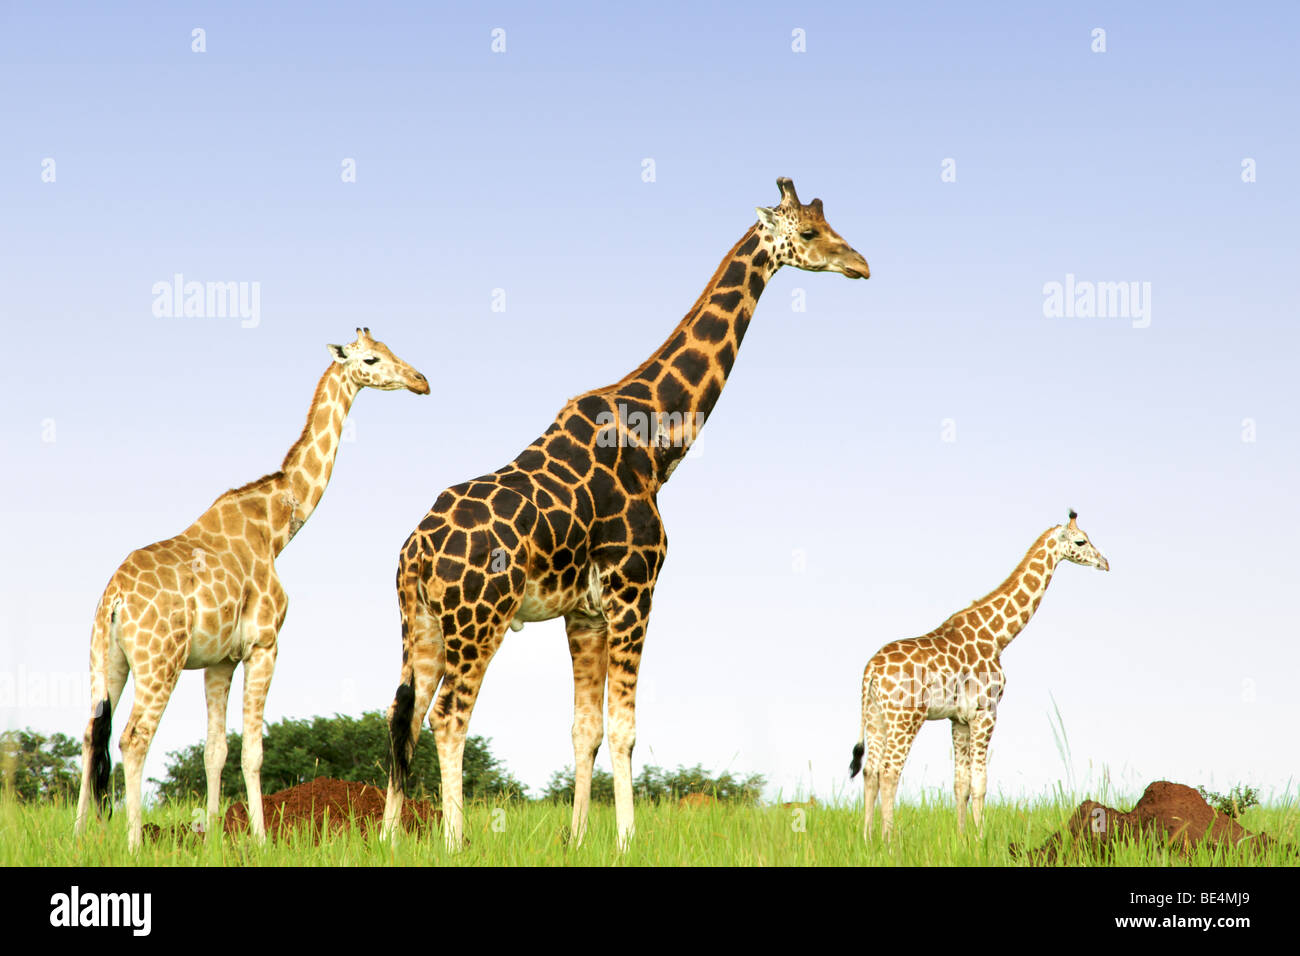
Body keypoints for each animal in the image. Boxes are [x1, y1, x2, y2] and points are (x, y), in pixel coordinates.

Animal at [73, 329, 428, 850]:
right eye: (370, 359)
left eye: (390, 349)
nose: (421, 380)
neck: (277, 527)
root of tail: (115, 599)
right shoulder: (265, 643)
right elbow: (253, 751)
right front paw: (260, 838)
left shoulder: (218, 660)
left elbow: (215, 750)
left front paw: (214, 836)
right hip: (159, 662)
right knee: (133, 738)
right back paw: (134, 841)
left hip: (106, 659)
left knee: (91, 732)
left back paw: (79, 836)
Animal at [383, 178, 870, 850]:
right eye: (808, 232)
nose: (861, 265)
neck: (656, 444)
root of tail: (415, 553)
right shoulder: (634, 589)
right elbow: (624, 728)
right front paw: (626, 840)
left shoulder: (584, 612)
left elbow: (584, 729)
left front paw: (576, 839)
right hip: (477, 621)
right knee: (448, 718)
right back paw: (456, 842)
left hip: (421, 625)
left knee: (399, 717)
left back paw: (388, 840)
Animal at [849, 511, 1109, 841]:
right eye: (1081, 541)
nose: (1105, 562)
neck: (996, 636)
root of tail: (870, 670)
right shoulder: (987, 711)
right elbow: (980, 782)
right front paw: (980, 839)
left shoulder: (959, 719)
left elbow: (961, 784)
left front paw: (962, 839)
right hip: (905, 717)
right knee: (889, 771)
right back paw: (889, 841)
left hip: (875, 716)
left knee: (870, 771)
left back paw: (867, 840)